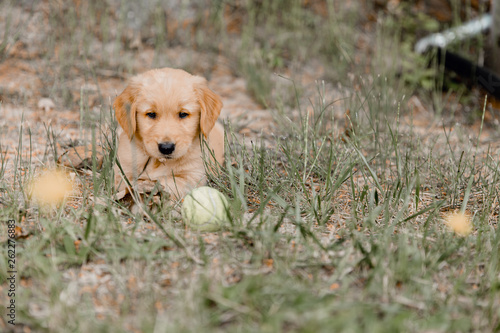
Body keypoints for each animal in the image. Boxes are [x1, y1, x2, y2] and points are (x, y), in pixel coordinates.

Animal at [114, 66, 224, 198]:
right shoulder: (122, 171)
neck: (158, 162)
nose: (166, 148)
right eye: (151, 114)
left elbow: (168, 182)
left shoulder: (193, 175)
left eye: (183, 114)